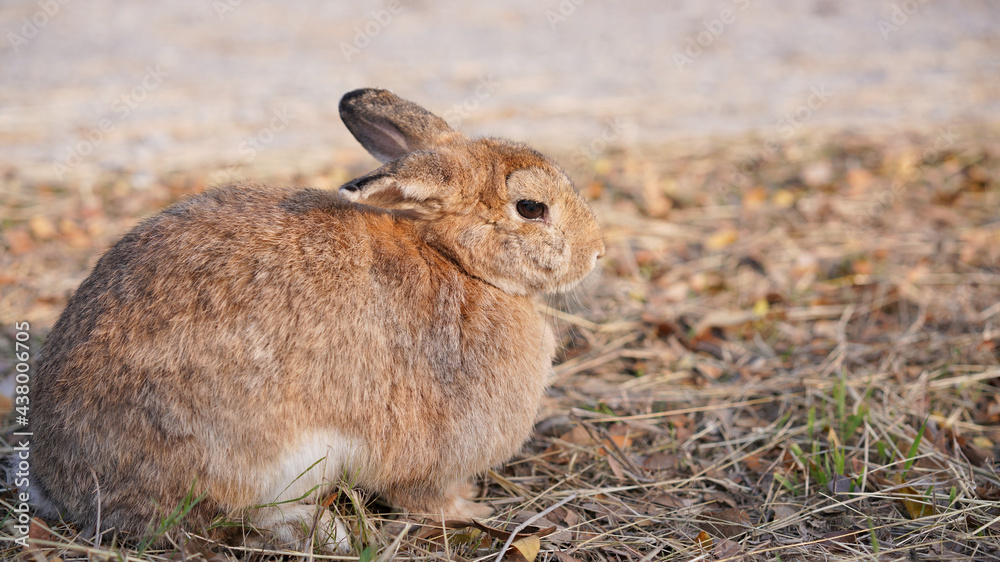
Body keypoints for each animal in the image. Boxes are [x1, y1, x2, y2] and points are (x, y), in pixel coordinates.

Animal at [29, 88, 605, 553]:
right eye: (531, 207)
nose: (597, 253)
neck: (456, 261)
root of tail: (62, 483)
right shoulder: (435, 448)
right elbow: (426, 497)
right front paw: (473, 510)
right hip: (244, 455)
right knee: (215, 521)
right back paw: (321, 531)